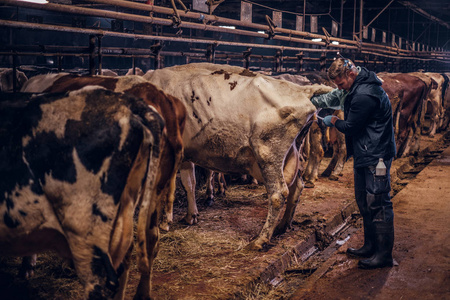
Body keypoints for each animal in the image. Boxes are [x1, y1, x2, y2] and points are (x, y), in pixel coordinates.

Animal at [144, 62, 334, 250]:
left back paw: (260, 239)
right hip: (292, 153)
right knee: (296, 187)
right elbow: (188, 182)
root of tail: (303, 90)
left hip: (267, 153)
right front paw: (191, 216)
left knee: (279, 194)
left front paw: (164, 222)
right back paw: (282, 226)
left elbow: (166, 188)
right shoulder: (185, 154)